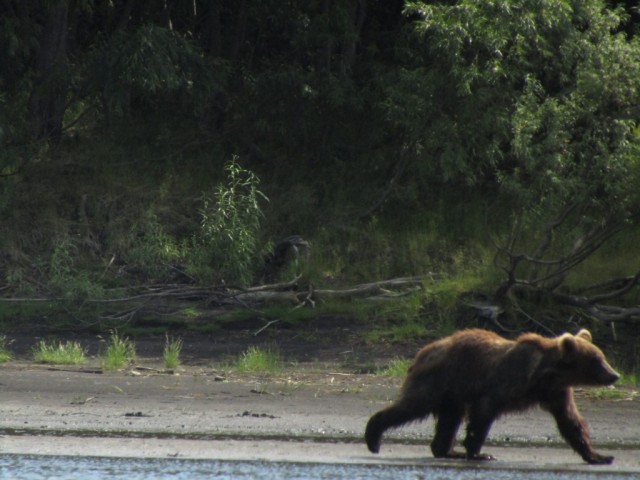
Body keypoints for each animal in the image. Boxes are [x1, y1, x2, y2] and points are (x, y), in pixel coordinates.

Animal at [364, 328, 620, 464]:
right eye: (597, 360)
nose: (614, 375)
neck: (543, 375)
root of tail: (425, 350)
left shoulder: (556, 393)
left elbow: (571, 422)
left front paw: (599, 456)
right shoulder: (503, 383)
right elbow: (483, 414)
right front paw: (479, 452)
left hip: (453, 393)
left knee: (449, 420)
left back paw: (448, 451)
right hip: (440, 380)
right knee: (412, 405)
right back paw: (373, 437)